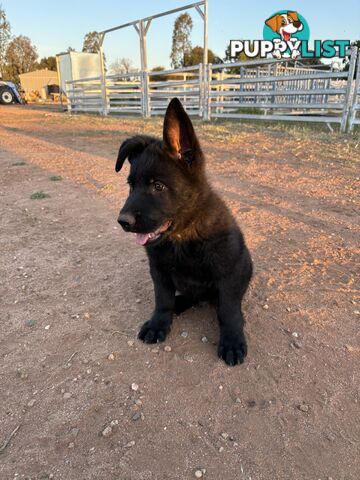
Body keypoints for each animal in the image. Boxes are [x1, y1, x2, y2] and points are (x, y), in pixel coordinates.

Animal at [115, 98, 253, 368]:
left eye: (158, 186)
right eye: (131, 186)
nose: (122, 221)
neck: (183, 237)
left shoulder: (230, 273)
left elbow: (229, 311)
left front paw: (232, 341)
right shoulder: (158, 271)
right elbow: (162, 300)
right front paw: (158, 323)